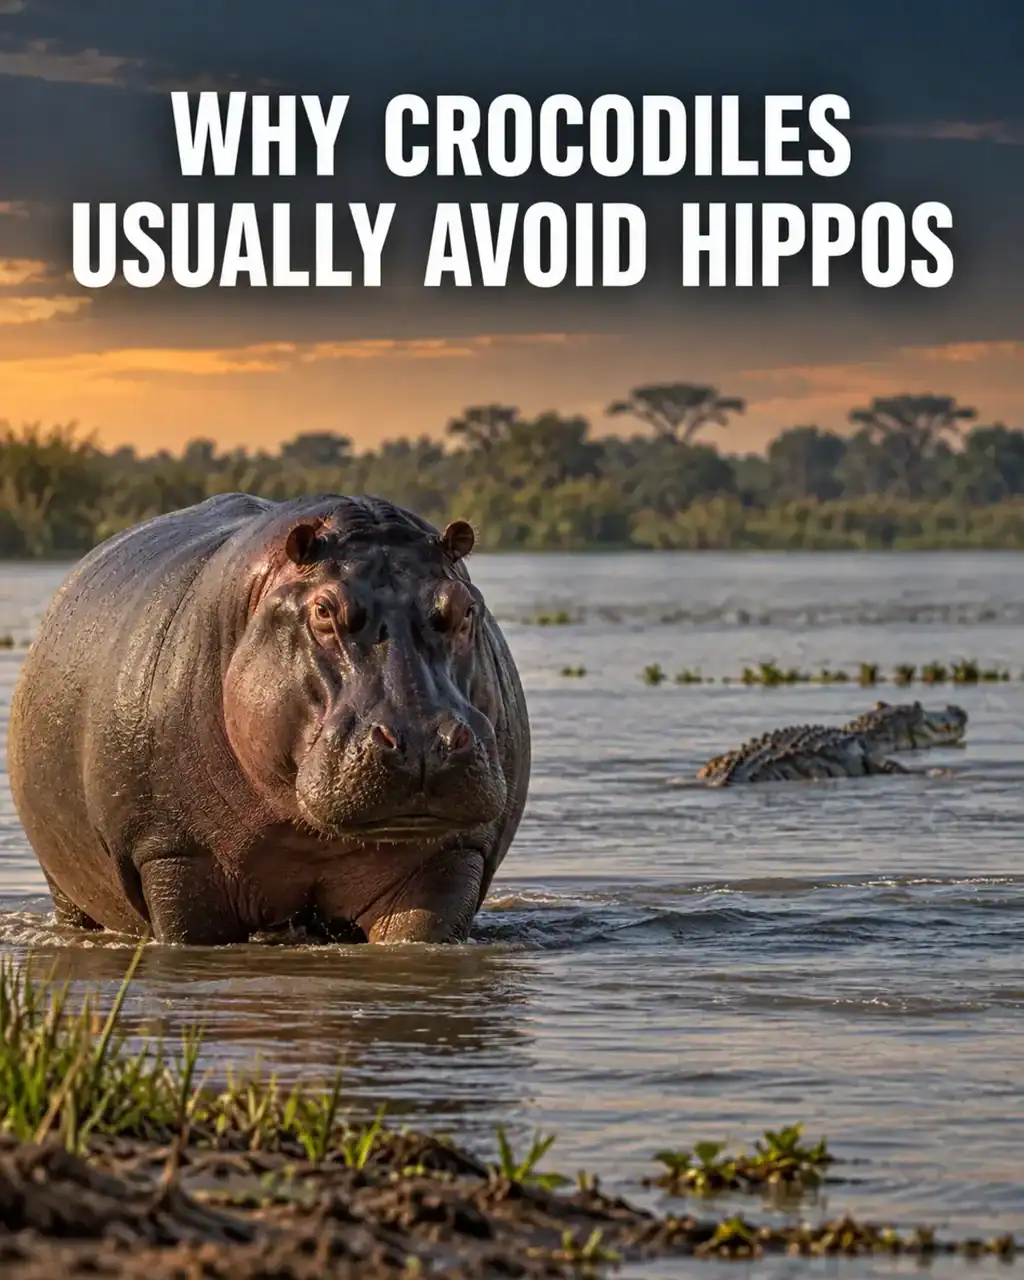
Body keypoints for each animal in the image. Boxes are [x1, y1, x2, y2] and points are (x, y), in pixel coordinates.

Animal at [8, 494, 530, 945]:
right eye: (323, 609)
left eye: (466, 607)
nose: (421, 742)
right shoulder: (172, 856)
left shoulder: (450, 854)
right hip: (65, 884)